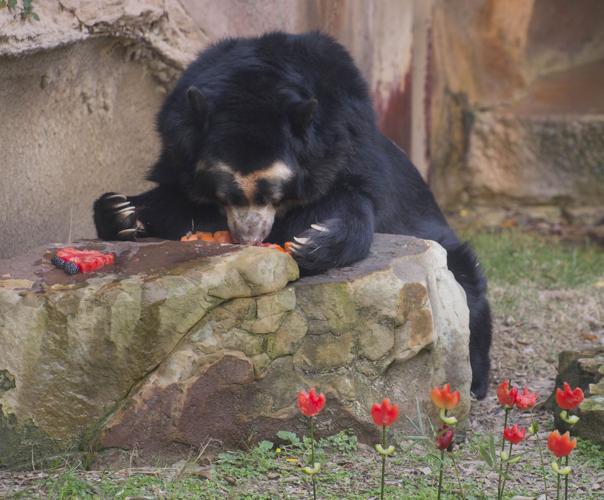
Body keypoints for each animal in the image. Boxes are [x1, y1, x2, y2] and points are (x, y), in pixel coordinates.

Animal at [93, 31, 490, 398]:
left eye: (272, 193)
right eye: (225, 193)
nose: (250, 237)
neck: (254, 83)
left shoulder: (342, 145)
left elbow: (353, 204)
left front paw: (311, 242)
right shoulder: (180, 151)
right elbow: (174, 198)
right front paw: (122, 211)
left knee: (466, 296)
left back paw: (474, 383)